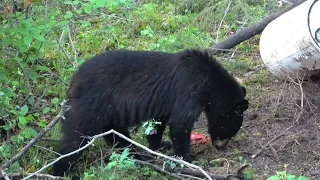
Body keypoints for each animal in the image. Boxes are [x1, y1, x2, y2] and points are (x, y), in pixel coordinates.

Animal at [52, 48, 249, 177]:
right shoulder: (189, 89)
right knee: (75, 140)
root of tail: (73, 80)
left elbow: (158, 123)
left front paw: (160, 146)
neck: (210, 83)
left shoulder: (163, 102)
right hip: (90, 105)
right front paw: (188, 163)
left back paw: (139, 155)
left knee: (118, 136)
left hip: (109, 112)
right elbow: (180, 125)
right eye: (231, 129)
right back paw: (61, 171)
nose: (220, 146)